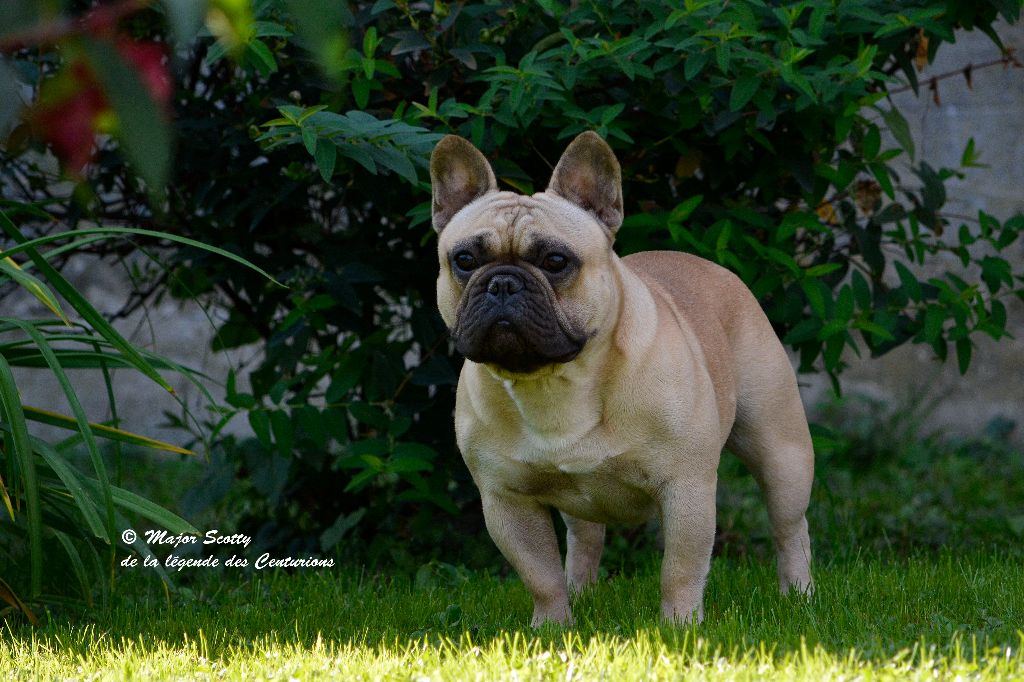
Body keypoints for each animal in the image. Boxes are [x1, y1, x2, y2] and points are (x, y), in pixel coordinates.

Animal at [430, 131, 814, 626]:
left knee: (790, 528)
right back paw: (582, 594)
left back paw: (798, 596)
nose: (502, 283)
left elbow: (681, 568)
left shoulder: (686, 488)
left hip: (781, 450)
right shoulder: (506, 500)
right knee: (584, 540)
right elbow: (540, 574)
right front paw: (552, 627)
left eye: (556, 260)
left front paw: (680, 626)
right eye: (463, 259)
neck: (554, 383)